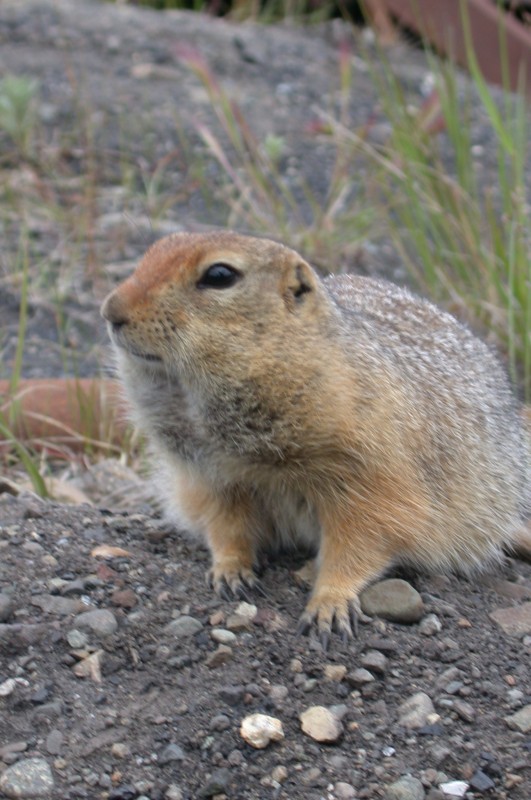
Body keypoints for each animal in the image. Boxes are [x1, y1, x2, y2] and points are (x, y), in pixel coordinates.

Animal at [102, 231, 528, 644]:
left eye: (220, 275)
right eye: (150, 253)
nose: (110, 311)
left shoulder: (371, 471)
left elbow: (362, 536)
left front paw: (329, 604)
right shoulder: (210, 475)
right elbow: (225, 524)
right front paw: (231, 571)